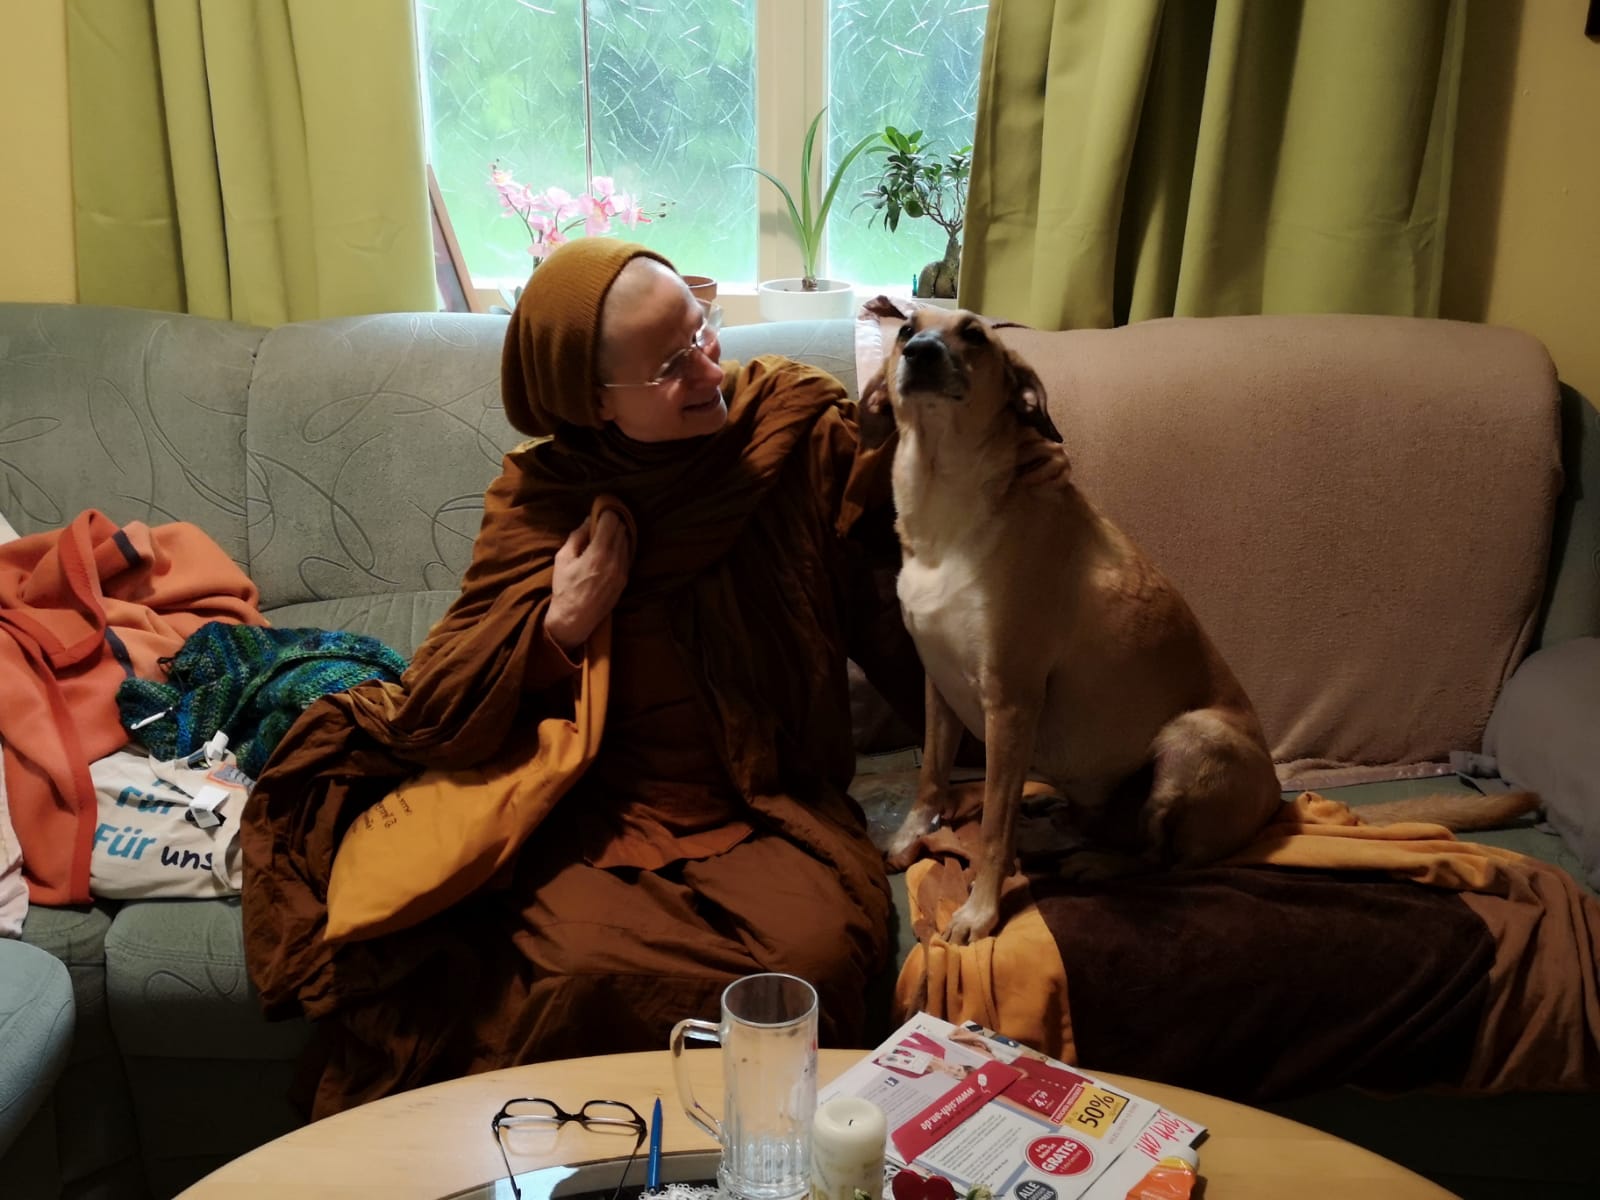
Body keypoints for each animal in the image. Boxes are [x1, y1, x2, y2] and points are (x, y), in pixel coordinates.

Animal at [866, 308, 1539, 945]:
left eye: (975, 335)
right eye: (905, 329)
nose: (921, 352)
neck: (942, 499)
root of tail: (1276, 804)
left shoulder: (1011, 702)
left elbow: (993, 827)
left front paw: (980, 910)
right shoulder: (939, 686)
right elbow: (931, 779)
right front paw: (910, 838)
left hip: (1191, 741)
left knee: (1162, 858)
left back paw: (1097, 864)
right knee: (1095, 828)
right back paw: (1057, 833)